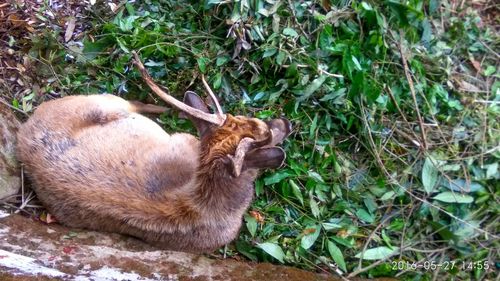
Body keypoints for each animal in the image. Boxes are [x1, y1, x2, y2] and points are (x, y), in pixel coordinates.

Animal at [15, 51, 292, 253]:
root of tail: (28, 122)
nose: (286, 123)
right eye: (262, 126)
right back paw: (163, 108)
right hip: (103, 102)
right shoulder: (185, 140)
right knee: (129, 101)